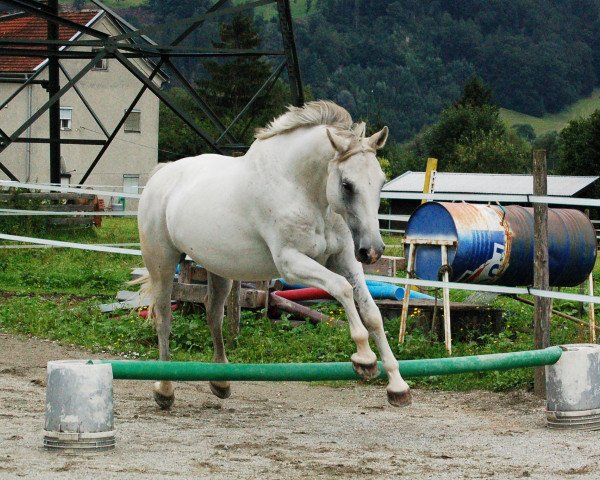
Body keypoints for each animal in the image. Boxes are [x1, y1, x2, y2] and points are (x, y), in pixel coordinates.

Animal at [138, 100, 412, 408]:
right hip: (161, 263)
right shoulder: (291, 263)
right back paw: (164, 389)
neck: (301, 189)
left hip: (218, 268)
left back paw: (220, 382)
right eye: (347, 184)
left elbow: (371, 312)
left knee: (213, 312)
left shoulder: (344, 259)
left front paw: (397, 386)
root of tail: (161, 175)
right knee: (164, 317)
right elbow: (341, 289)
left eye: (381, 182)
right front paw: (364, 359)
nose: (372, 251)